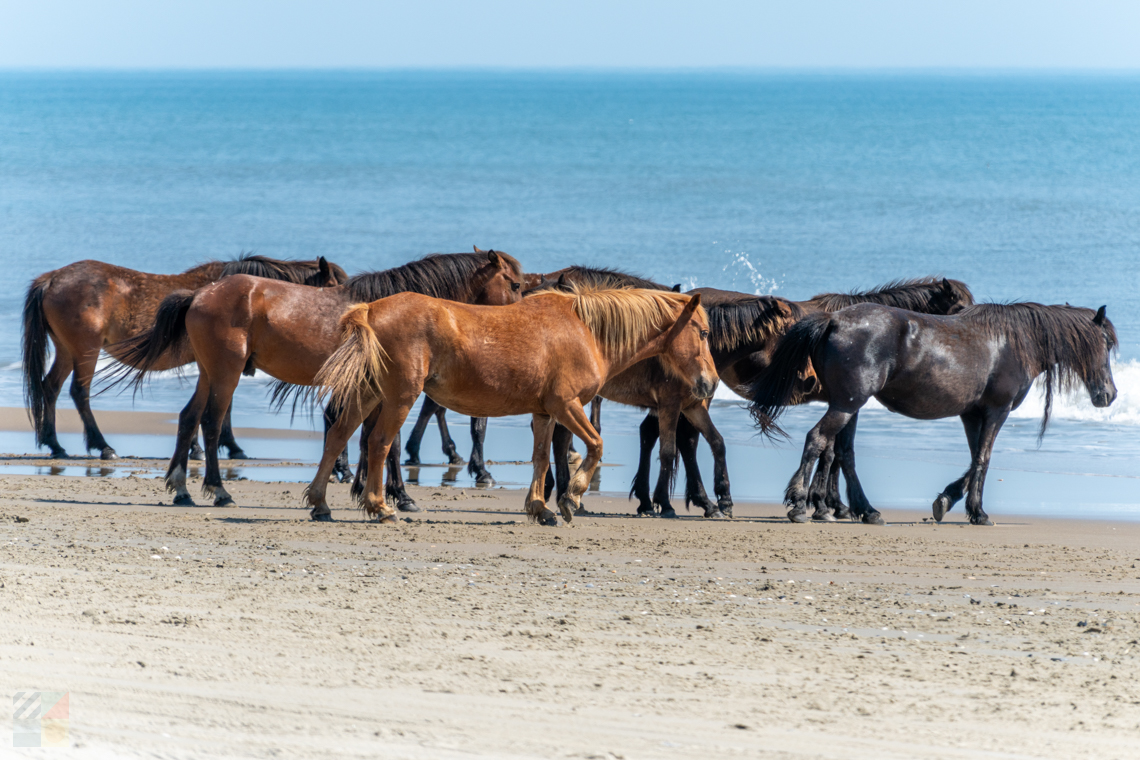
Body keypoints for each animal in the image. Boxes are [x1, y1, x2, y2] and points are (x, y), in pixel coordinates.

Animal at [22, 254, 346, 460]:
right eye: (333, 291)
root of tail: (52, 279)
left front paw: (209, 447)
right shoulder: (220, 364)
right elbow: (217, 407)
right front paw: (215, 448)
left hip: (66, 350)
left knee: (50, 387)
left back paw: (55, 445)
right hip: (85, 350)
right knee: (80, 392)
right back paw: (103, 446)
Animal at [109, 250, 524, 509]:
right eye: (515, 284)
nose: (520, 317)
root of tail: (199, 294)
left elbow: (366, 437)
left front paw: (364, 489)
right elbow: (385, 441)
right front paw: (399, 496)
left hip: (209, 373)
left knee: (188, 418)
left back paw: (181, 489)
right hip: (226, 373)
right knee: (211, 423)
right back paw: (219, 490)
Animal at [308, 285, 716, 525]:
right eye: (703, 332)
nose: (709, 384)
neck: (585, 331)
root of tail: (371, 311)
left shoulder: (545, 412)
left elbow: (540, 459)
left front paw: (540, 508)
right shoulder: (566, 405)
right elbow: (596, 446)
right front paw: (571, 497)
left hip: (370, 392)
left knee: (339, 436)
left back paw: (320, 503)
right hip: (399, 398)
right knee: (378, 444)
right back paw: (380, 507)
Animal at [749, 302, 1117, 525]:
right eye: (1106, 343)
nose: (1109, 395)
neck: (1013, 342)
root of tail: (834, 320)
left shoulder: (972, 414)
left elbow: (974, 459)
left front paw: (946, 501)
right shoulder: (996, 411)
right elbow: (984, 459)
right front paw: (978, 512)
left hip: (849, 404)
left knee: (842, 453)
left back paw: (865, 511)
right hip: (847, 404)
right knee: (818, 440)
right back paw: (800, 503)